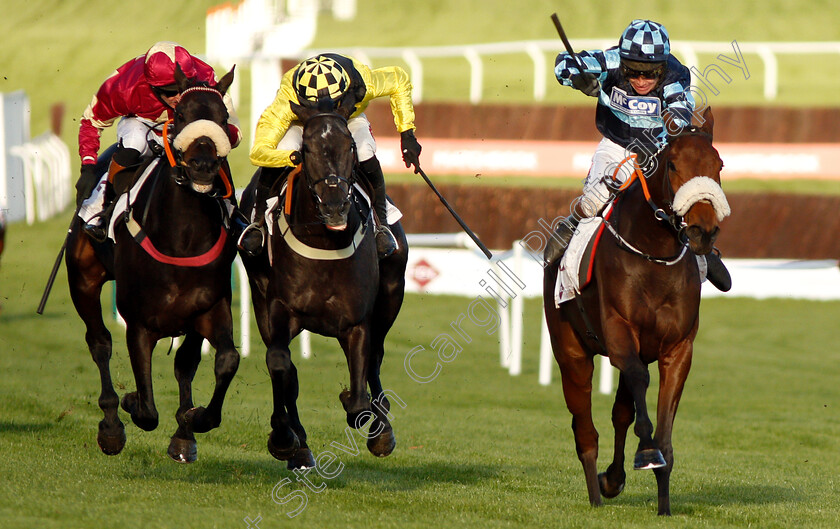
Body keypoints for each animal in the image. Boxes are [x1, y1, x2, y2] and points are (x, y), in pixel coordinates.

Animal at [66, 65, 240, 462]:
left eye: (224, 118)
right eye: (181, 116)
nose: (204, 166)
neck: (182, 238)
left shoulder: (208, 307)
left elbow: (222, 360)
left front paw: (192, 423)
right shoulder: (139, 323)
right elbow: (146, 409)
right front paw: (129, 403)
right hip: (82, 281)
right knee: (99, 343)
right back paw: (111, 425)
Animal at [238, 94, 408, 466]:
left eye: (350, 146)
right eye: (307, 149)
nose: (333, 205)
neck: (324, 242)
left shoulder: (357, 322)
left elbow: (358, 400)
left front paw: (372, 423)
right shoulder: (279, 308)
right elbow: (280, 365)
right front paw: (285, 438)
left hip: (391, 296)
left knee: (375, 359)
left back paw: (382, 429)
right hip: (259, 294)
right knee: (285, 370)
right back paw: (298, 444)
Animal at [544, 108, 728, 516]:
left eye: (719, 165)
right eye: (673, 164)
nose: (703, 230)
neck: (653, 256)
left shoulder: (677, 348)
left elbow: (661, 423)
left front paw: (664, 504)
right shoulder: (618, 332)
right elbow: (641, 393)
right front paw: (645, 452)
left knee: (620, 413)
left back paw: (611, 481)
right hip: (571, 352)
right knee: (585, 430)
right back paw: (596, 496)